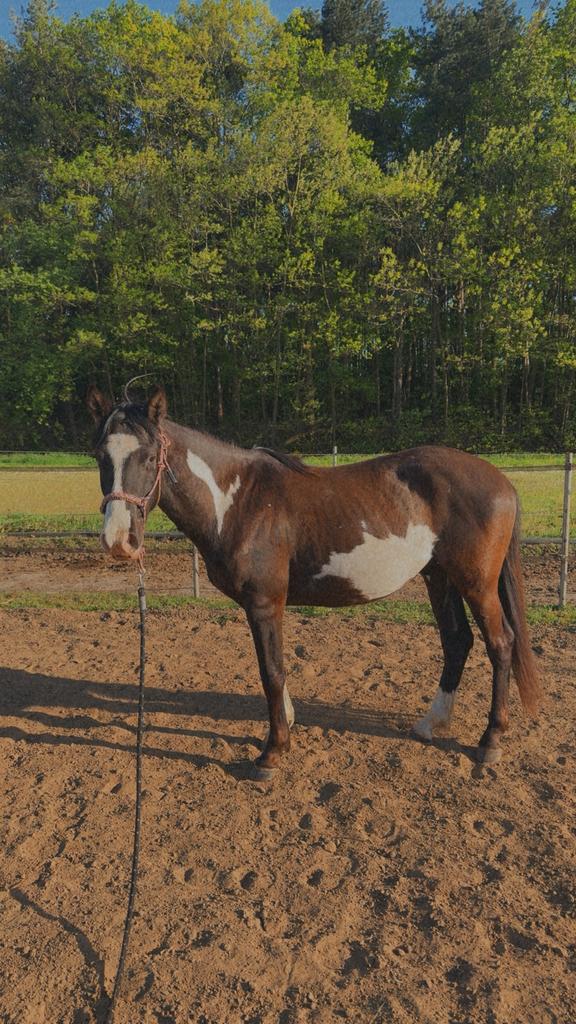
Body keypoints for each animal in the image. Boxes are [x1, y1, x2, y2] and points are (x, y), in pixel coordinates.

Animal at [87, 385, 541, 780]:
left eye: (149, 457)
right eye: (100, 456)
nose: (119, 541)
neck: (238, 502)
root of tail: (502, 481)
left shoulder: (265, 602)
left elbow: (271, 671)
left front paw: (272, 753)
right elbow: (274, 670)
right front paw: (285, 725)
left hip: (476, 584)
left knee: (500, 643)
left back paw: (490, 740)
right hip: (439, 578)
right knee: (457, 640)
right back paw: (432, 723)